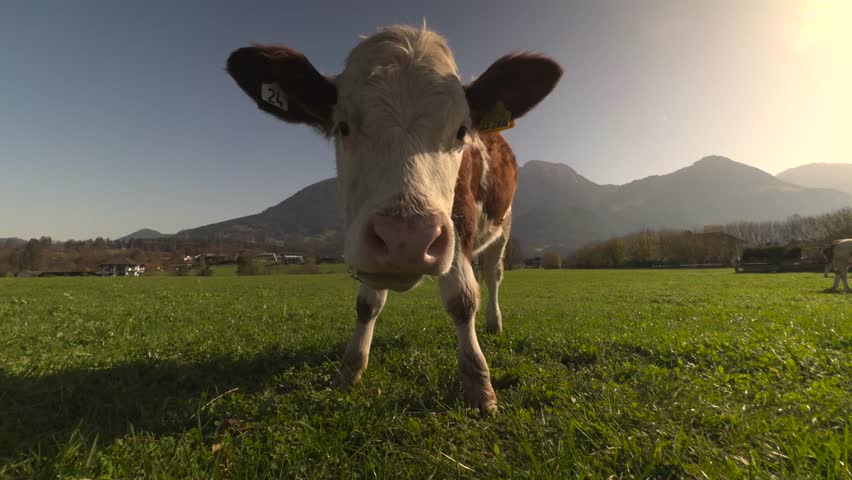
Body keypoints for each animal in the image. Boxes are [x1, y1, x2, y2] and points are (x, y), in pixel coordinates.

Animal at [226, 25, 562, 412]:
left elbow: (463, 299)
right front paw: (350, 370)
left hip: (501, 230)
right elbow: (367, 305)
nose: (406, 239)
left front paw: (479, 385)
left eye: (461, 131)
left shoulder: (460, 227)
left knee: (492, 276)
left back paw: (494, 323)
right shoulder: (366, 243)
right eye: (342, 127)